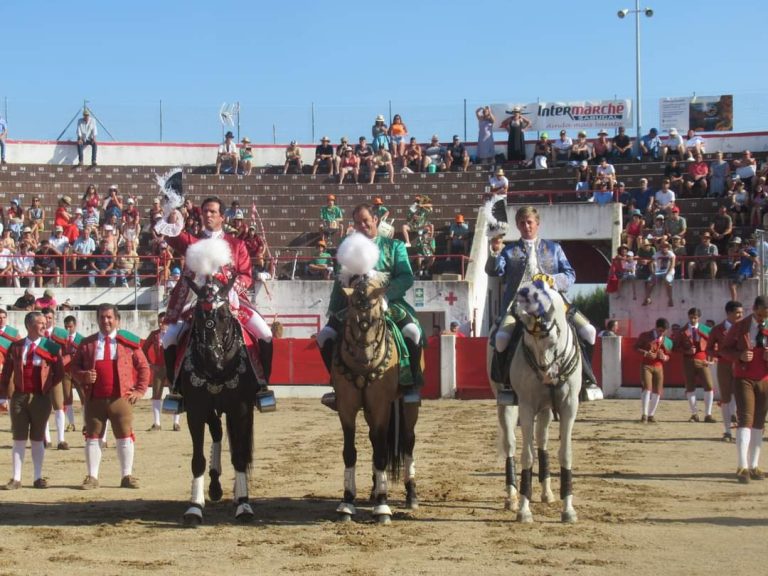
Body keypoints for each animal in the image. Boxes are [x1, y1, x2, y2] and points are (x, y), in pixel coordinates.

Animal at [178, 274, 258, 528]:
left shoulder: (241, 409)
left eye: (224, 315)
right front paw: (194, 507)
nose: (212, 357)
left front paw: (244, 505)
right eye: (197, 315)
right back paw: (213, 487)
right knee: (217, 432)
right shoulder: (196, 410)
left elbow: (240, 456)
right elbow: (198, 460)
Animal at [332, 274, 412, 520]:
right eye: (351, 317)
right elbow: (350, 452)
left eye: (377, 318)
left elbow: (381, 455)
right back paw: (375, 488)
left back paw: (411, 495)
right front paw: (347, 502)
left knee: (408, 440)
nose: (364, 359)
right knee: (375, 440)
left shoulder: (380, 407)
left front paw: (382, 506)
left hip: (408, 405)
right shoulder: (346, 407)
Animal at [510, 282, 584, 524]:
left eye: (552, 338)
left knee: (542, 442)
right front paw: (524, 510)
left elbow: (565, 453)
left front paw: (568, 509)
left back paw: (546, 493)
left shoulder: (569, 407)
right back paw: (511, 498)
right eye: (527, 340)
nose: (547, 377)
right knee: (510, 445)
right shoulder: (525, 406)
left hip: (546, 411)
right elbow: (527, 456)